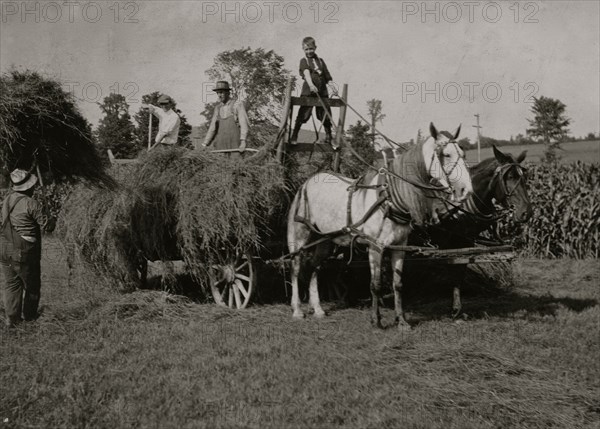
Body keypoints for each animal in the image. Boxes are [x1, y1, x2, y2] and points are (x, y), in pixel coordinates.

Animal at [286, 122, 474, 330]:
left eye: (463, 154)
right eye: (446, 155)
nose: (466, 190)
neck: (389, 199)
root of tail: (307, 183)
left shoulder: (399, 246)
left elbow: (398, 284)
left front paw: (401, 321)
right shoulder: (375, 246)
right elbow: (375, 285)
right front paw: (376, 320)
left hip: (324, 240)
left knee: (314, 267)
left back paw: (318, 308)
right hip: (300, 236)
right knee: (296, 267)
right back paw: (297, 310)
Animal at [420, 145, 532, 316]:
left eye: (524, 177)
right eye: (510, 176)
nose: (527, 213)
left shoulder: (465, 242)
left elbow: (459, 272)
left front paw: (456, 308)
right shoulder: (447, 244)